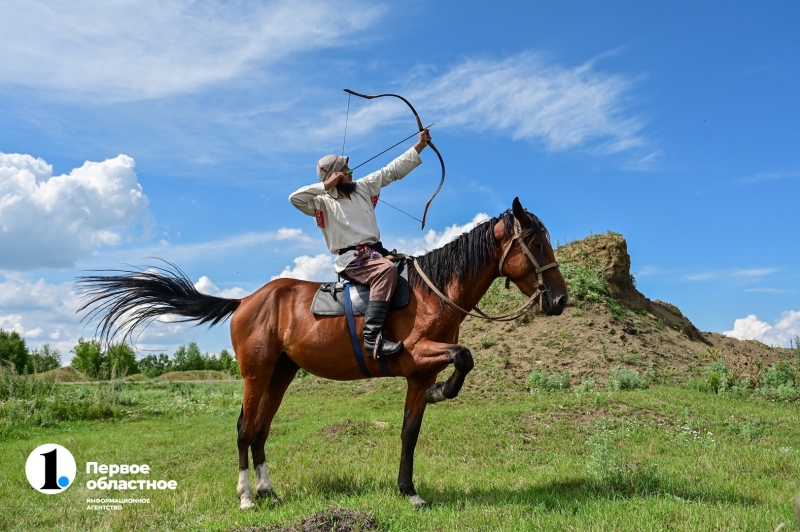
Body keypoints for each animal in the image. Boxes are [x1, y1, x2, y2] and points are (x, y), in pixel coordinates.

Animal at [78, 196, 568, 512]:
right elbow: (465, 356)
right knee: (244, 429)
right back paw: (246, 497)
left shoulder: (419, 373)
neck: (433, 293)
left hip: (280, 375)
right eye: (535, 243)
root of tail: (246, 301)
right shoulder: (418, 354)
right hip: (255, 375)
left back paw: (269, 491)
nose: (561, 300)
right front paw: (442, 396)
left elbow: (410, 432)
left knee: (261, 430)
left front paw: (408, 490)